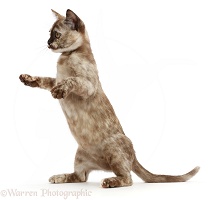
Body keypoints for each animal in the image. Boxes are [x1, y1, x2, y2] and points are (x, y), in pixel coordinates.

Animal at [18, 9, 199, 188]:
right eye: (49, 33)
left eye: (56, 34)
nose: (48, 42)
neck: (66, 57)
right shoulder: (55, 80)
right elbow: (44, 80)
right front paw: (28, 79)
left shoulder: (87, 84)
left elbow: (71, 80)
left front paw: (59, 92)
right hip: (79, 157)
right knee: (80, 177)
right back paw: (58, 177)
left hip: (114, 151)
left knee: (127, 178)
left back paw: (109, 181)